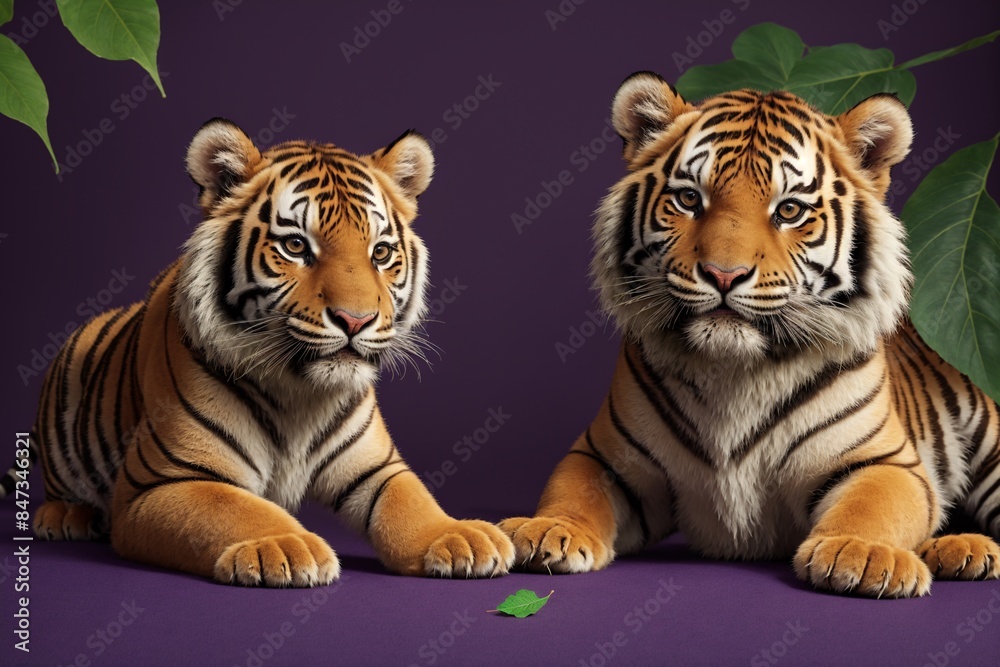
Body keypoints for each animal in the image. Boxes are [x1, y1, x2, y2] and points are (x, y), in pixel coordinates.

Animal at [25, 119, 514, 586]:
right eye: (295, 246)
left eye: (380, 252)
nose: (355, 320)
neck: (300, 392)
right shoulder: (163, 481)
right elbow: (233, 508)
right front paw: (283, 546)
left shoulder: (378, 468)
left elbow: (411, 502)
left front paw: (461, 536)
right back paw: (66, 516)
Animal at [499, 71, 1000, 598]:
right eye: (689, 199)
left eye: (790, 210)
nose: (724, 274)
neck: (735, 370)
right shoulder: (605, 457)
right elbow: (573, 490)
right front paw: (551, 530)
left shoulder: (885, 462)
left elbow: (875, 505)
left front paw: (861, 554)